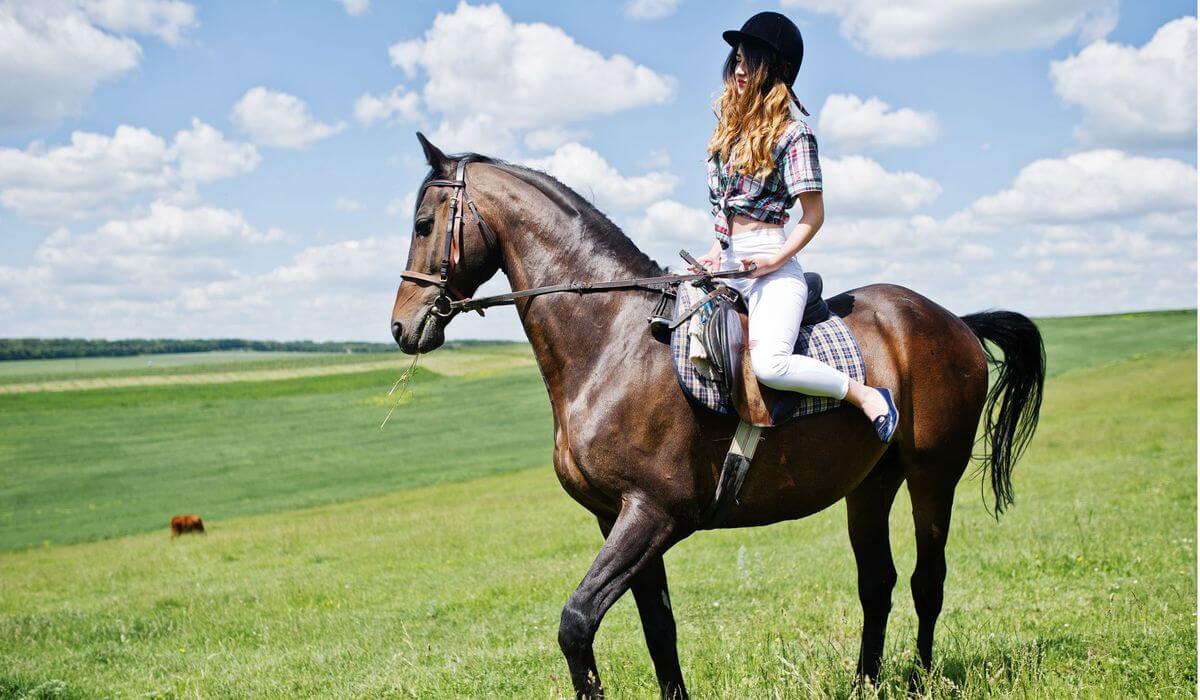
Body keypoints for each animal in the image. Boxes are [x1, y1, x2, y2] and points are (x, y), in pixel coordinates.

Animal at [391, 134, 1041, 696]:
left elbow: (577, 622)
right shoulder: (615, 518)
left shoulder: (652, 513)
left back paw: (922, 679)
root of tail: (953, 321)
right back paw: (865, 682)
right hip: (871, 484)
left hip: (934, 476)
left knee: (927, 580)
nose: (402, 325)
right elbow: (659, 630)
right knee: (876, 584)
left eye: (423, 225)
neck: (614, 341)